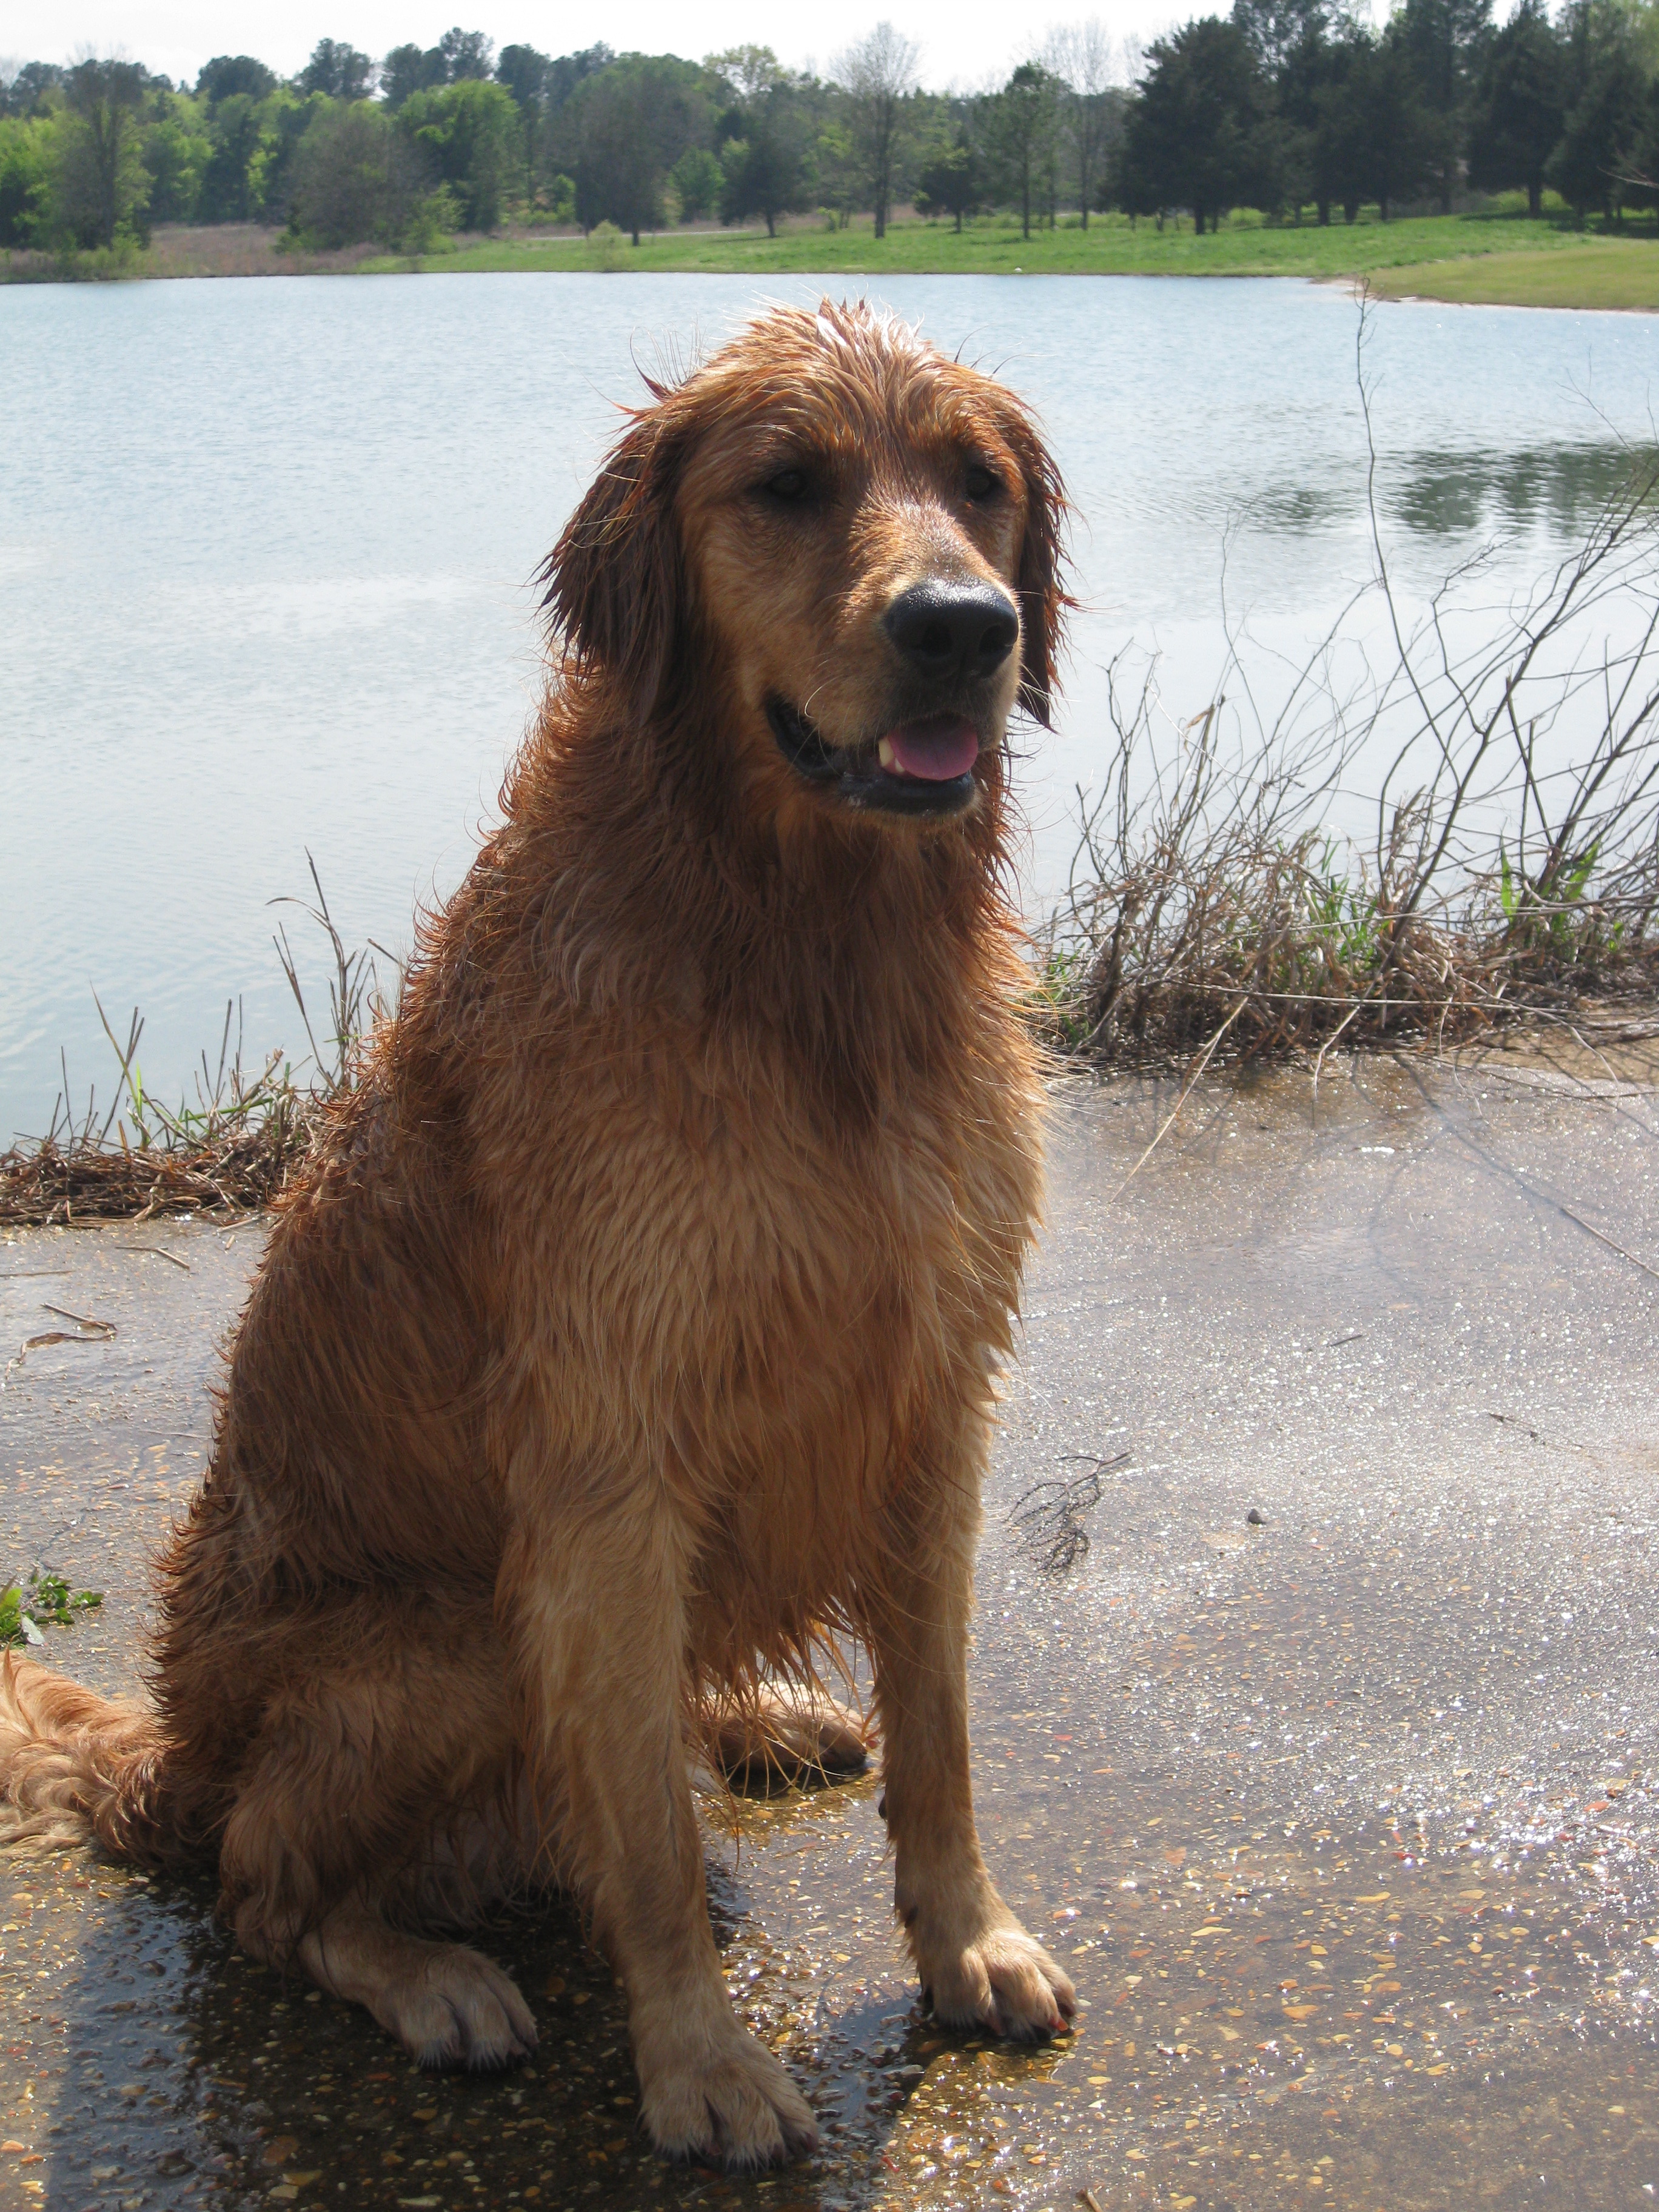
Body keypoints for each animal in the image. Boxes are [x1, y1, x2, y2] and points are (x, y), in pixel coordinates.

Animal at [0, 303, 1079, 2168]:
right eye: (787, 485)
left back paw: (761, 1716)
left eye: (977, 481)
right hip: (439, 1648)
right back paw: (432, 1972)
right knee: (269, 1889)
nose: (963, 627)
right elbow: (638, 1831)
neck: (802, 952)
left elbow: (939, 1739)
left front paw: (970, 1945)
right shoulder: (606, 1458)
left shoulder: (935, 1395)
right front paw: (701, 2066)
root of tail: (176, 1759)